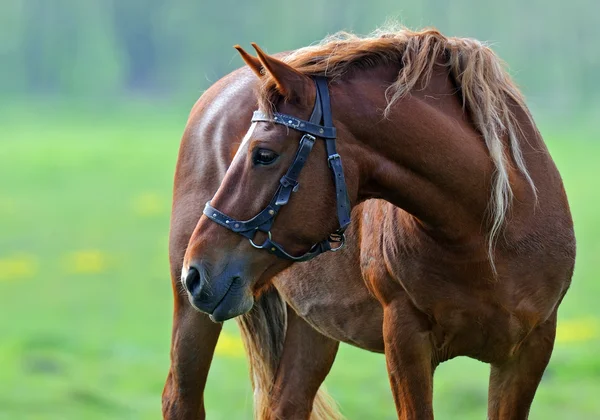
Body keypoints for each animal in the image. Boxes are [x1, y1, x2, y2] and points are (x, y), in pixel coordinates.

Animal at [162, 27, 576, 418]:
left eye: (263, 154)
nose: (195, 273)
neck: (484, 238)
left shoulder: (529, 350)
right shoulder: (406, 341)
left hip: (311, 324)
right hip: (195, 315)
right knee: (179, 400)